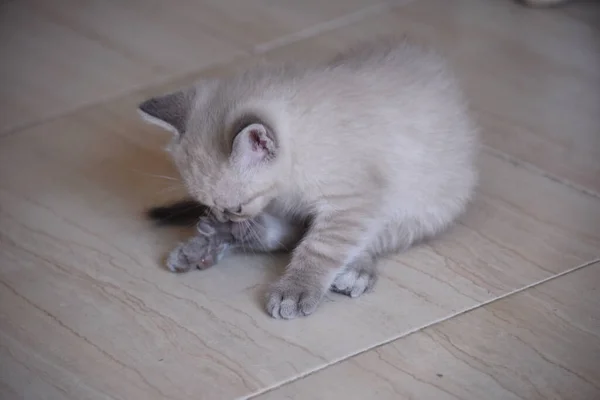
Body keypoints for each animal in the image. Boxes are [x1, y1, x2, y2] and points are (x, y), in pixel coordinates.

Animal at [139, 37, 478, 318]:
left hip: (422, 207)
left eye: (236, 206)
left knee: (368, 241)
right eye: (208, 203)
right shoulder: (284, 201)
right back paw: (208, 243)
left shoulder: (353, 202)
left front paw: (294, 290)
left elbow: (318, 248)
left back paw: (353, 271)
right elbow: (292, 234)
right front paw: (227, 232)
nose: (225, 216)